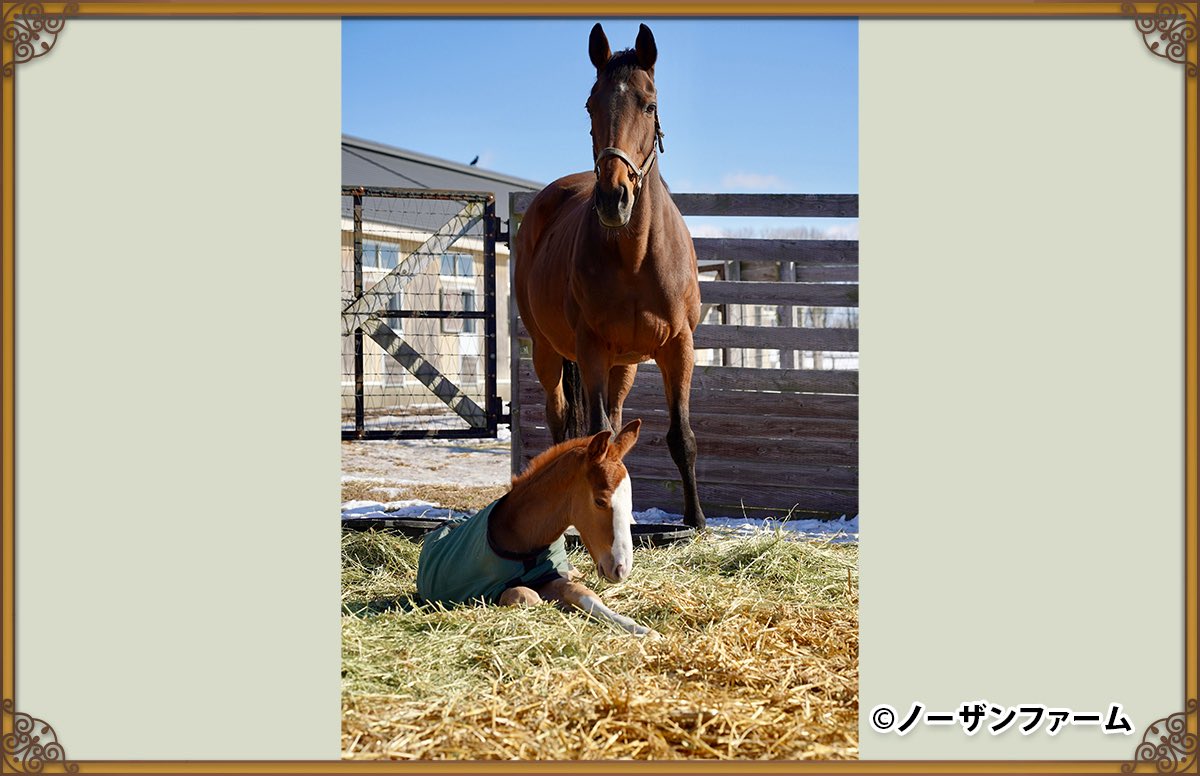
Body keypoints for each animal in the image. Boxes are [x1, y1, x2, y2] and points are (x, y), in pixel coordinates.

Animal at [416, 419, 657, 636]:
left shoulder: (553, 575)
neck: (521, 538)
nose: (621, 569)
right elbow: (526, 595)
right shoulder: (485, 592)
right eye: (600, 501)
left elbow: (582, 592)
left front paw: (640, 629)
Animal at [513, 22, 706, 529]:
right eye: (590, 105)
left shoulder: (678, 346)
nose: (612, 198)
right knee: (561, 418)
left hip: (626, 364)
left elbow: (681, 435)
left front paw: (696, 520)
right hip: (548, 352)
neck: (636, 256)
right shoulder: (592, 349)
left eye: (650, 104)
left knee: (618, 424)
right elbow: (595, 432)